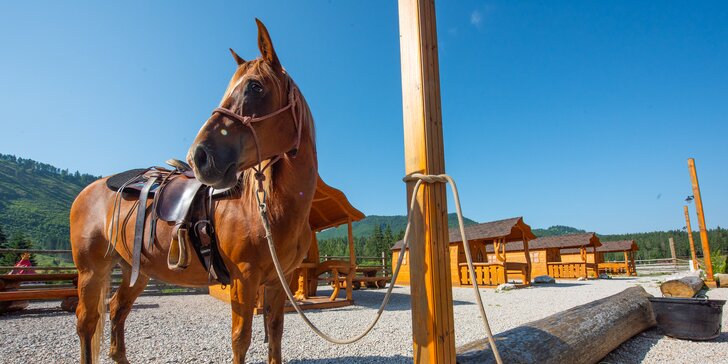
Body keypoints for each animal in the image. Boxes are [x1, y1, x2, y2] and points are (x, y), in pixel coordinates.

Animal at [70, 19, 316, 364]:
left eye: (255, 87)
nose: (198, 156)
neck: (272, 209)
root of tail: (89, 191)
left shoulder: (280, 283)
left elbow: (276, 335)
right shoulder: (244, 280)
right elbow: (241, 340)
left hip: (135, 270)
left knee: (117, 310)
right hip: (91, 271)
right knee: (87, 322)